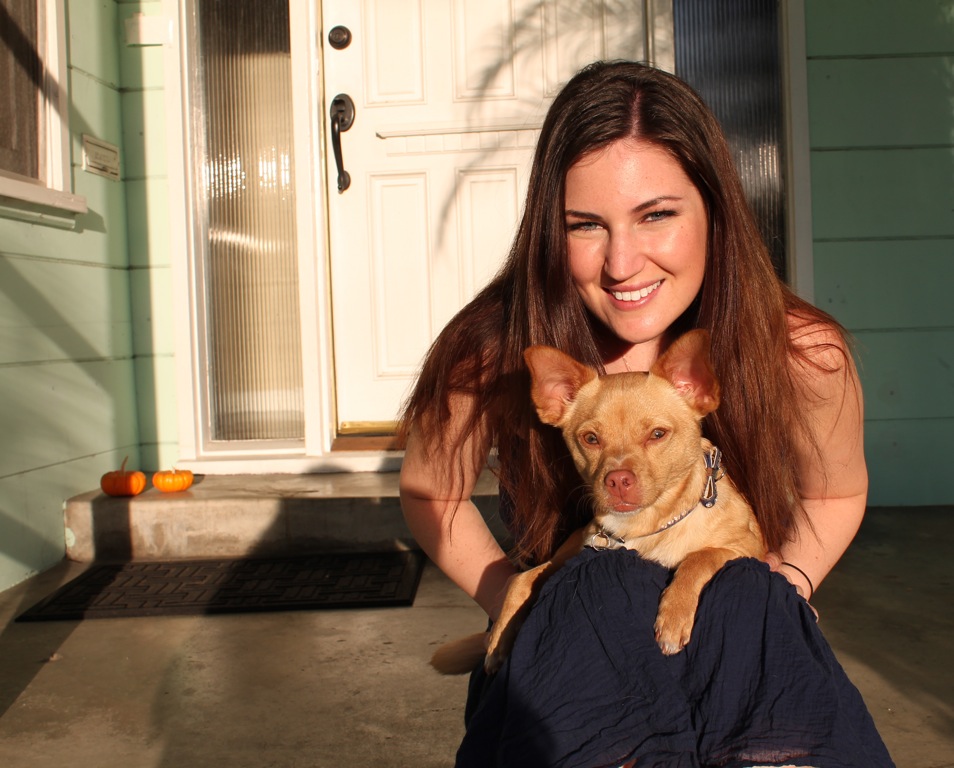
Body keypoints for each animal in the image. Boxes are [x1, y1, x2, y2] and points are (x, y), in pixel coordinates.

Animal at [432, 328, 768, 676]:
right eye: (591, 439)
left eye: (657, 434)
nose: (617, 479)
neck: (640, 528)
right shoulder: (566, 557)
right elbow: (521, 579)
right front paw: (498, 637)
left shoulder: (747, 548)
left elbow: (699, 557)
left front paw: (673, 615)